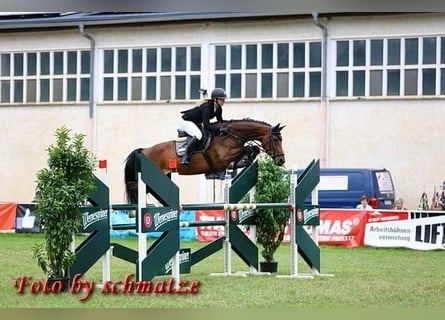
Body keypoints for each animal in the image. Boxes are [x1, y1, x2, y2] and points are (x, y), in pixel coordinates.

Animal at [123, 119, 286, 204]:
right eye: (276, 139)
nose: (281, 160)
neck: (231, 136)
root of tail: (144, 150)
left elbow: (251, 149)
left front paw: (245, 160)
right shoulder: (223, 158)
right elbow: (246, 149)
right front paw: (246, 157)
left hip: (163, 176)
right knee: (134, 186)